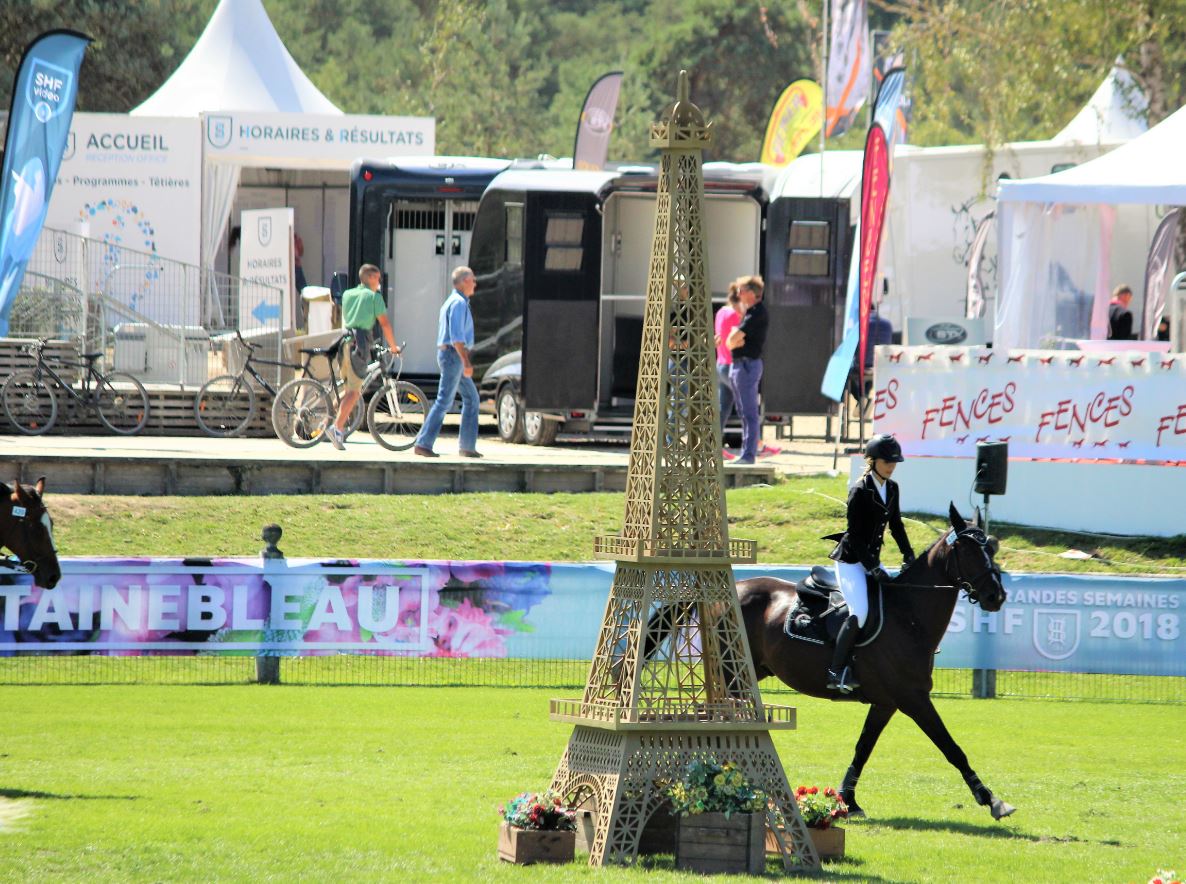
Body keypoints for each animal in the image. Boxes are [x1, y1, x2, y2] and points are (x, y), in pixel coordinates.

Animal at [735, 503, 1015, 821]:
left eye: (991, 547)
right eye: (968, 551)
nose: (996, 596)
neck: (907, 615)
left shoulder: (886, 703)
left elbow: (863, 748)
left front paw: (848, 800)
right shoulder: (913, 698)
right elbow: (951, 747)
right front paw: (991, 799)